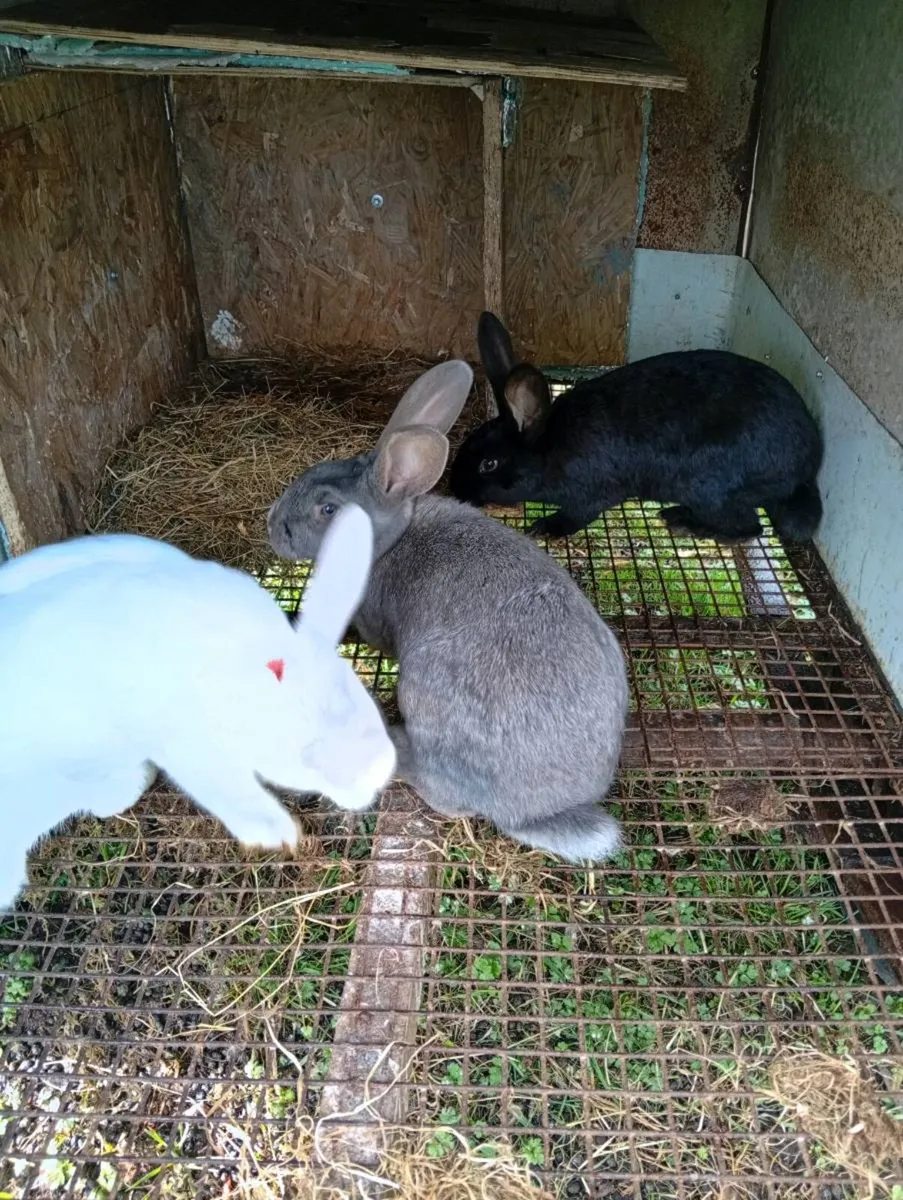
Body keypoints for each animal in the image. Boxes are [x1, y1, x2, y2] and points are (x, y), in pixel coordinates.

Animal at [448, 311, 824, 544]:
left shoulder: (595, 491)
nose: (456, 491)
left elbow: (579, 513)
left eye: (489, 464)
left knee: (749, 528)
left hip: (708, 486)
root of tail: (805, 469)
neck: (549, 448)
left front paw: (546, 528)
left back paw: (685, 523)